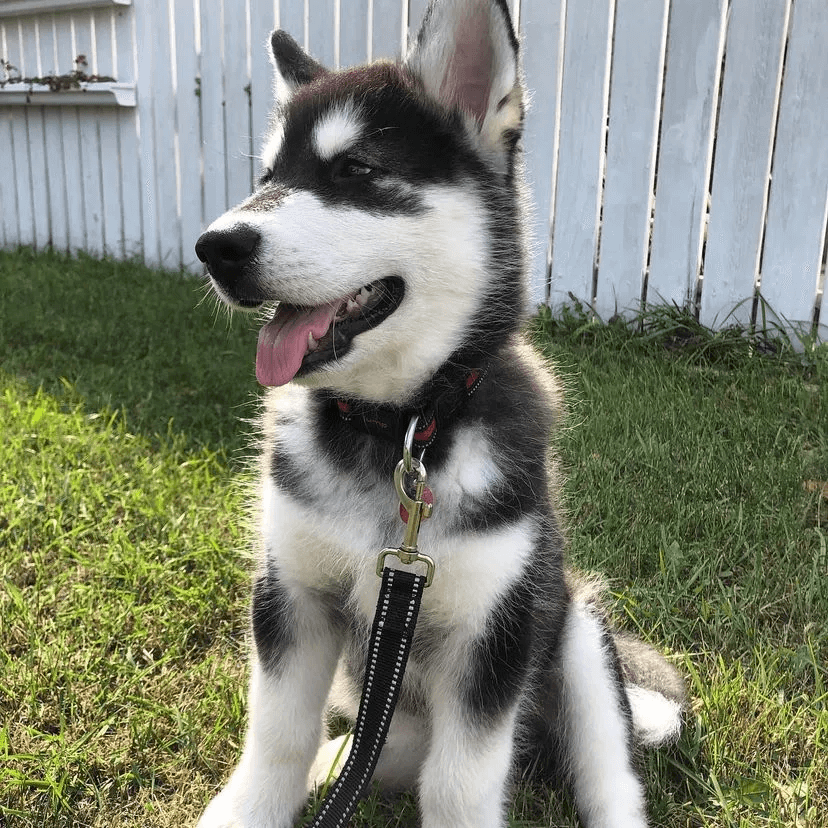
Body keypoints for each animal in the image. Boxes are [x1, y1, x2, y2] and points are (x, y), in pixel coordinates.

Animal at [194, 1, 684, 828]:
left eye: (355, 170)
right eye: (269, 178)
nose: (214, 247)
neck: (399, 428)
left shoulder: (494, 630)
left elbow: (460, 783)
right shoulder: (291, 594)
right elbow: (277, 738)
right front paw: (254, 805)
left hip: (576, 630)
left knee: (607, 776)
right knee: (372, 751)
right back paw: (338, 762)